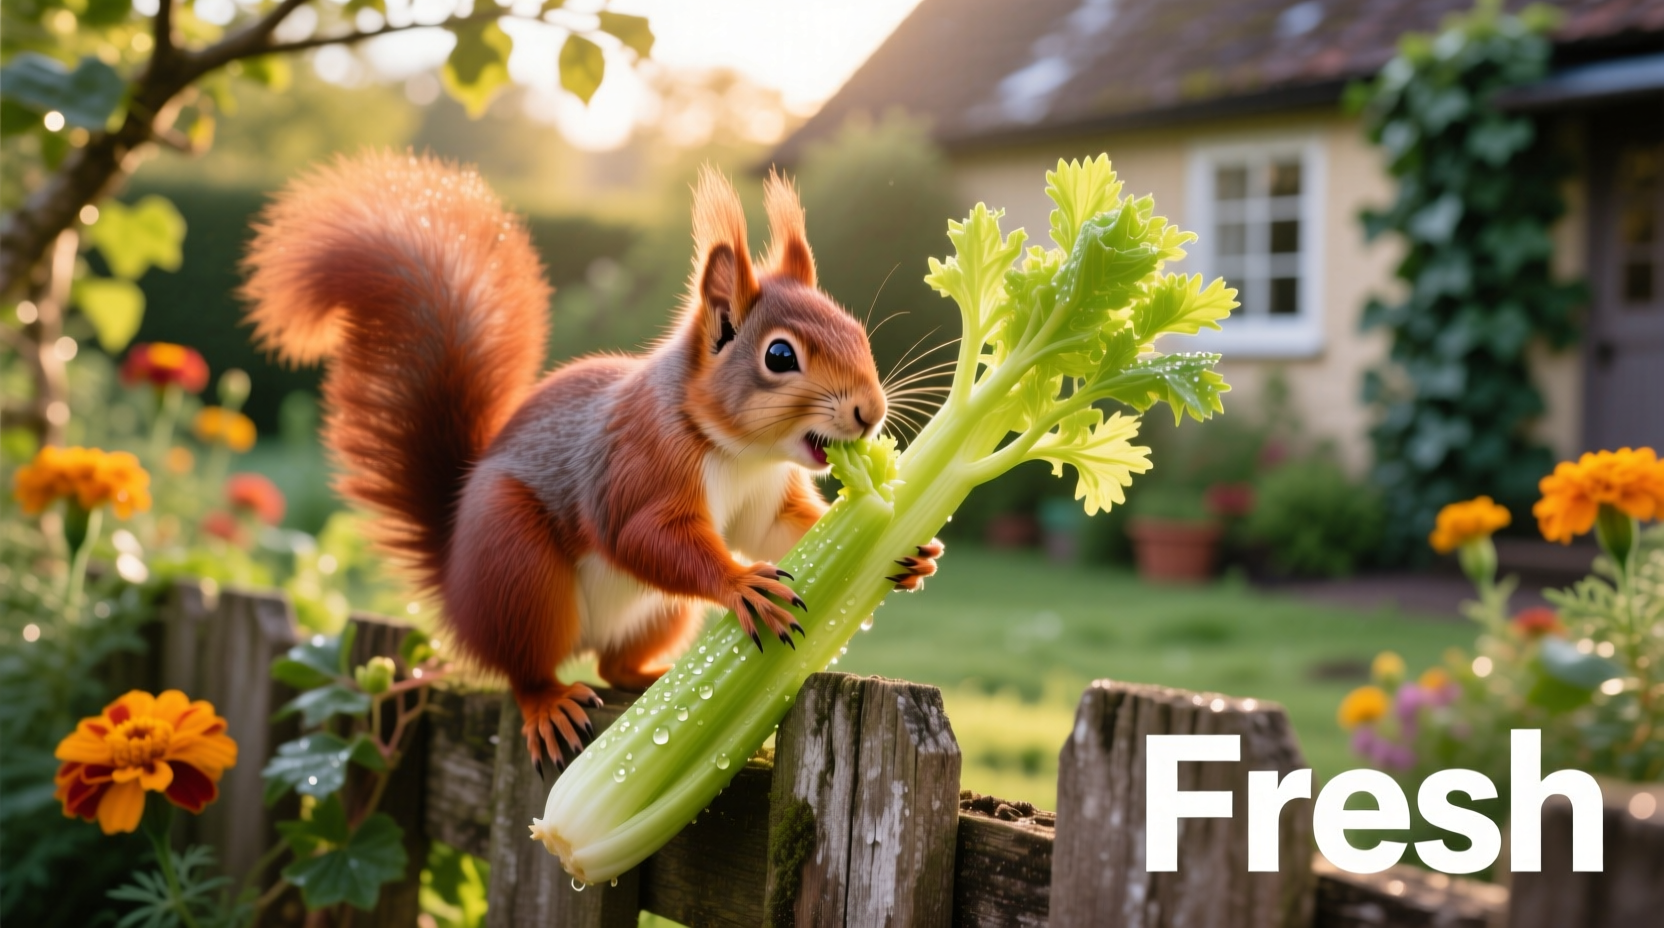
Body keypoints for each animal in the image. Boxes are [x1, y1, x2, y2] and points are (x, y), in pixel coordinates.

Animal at [242, 151, 941, 773]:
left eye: (855, 330)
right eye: (779, 356)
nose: (870, 412)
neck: (737, 453)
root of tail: (458, 592)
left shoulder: (766, 499)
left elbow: (785, 529)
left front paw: (910, 552)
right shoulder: (638, 466)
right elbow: (642, 536)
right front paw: (742, 583)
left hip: (657, 614)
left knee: (612, 665)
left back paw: (656, 676)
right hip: (515, 570)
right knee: (525, 667)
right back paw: (550, 702)